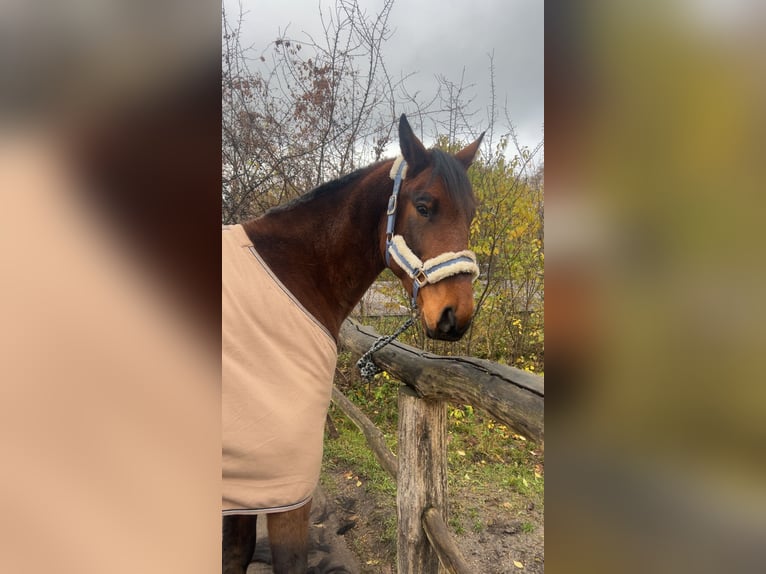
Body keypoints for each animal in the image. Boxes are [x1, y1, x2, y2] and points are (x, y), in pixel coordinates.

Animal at [222, 114, 484, 574]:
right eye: (424, 206)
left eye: (471, 213)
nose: (456, 315)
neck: (288, 275)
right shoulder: (282, 483)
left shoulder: (249, 488)